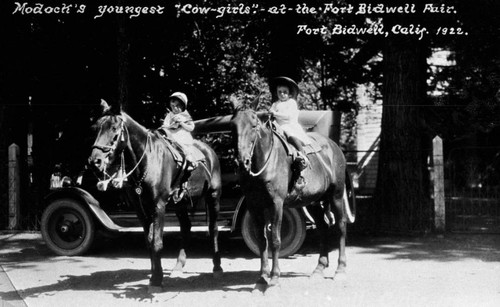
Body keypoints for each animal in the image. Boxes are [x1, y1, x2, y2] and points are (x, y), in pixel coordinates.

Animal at [89, 101, 223, 292]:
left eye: (114, 128)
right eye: (96, 128)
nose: (95, 161)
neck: (148, 159)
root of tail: (210, 152)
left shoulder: (158, 205)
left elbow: (157, 242)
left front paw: (157, 279)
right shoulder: (141, 208)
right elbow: (149, 241)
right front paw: (153, 276)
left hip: (213, 196)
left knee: (213, 229)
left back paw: (217, 267)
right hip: (180, 203)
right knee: (186, 227)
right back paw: (178, 266)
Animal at [231, 105, 356, 294]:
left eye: (253, 126)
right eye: (233, 128)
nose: (242, 161)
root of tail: (335, 147)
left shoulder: (277, 204)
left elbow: (275, 239)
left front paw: (274, 280)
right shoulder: (254, 205)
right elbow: (262, 241)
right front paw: (261, 279)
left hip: (336, 195)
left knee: (341, 226)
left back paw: (340, 270)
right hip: (313, 202)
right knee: (323, 228)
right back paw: (319, 269)